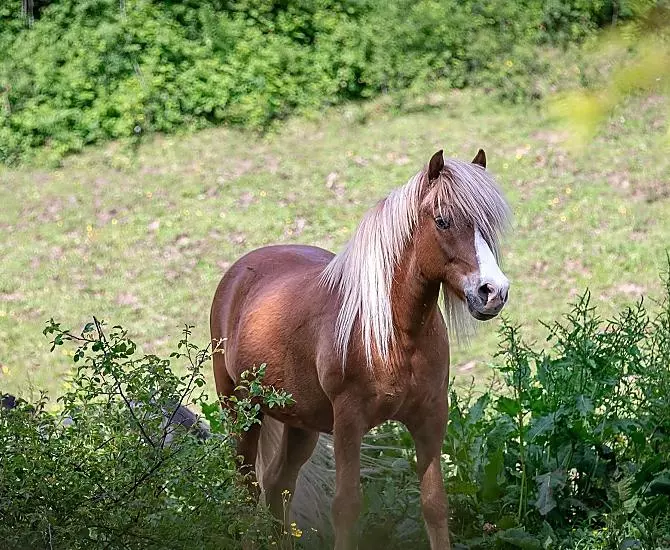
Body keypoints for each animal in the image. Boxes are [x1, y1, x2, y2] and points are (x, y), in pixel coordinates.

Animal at [210, 148, 511, 549]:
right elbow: (347, 507)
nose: (493, 292)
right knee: (247, 490)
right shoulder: (349, 423)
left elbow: (434, 505)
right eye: (443, 221)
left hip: (301, 424)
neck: (393, 334)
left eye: (489, 224)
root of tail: (238, 273)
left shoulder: (430, 418)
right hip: (241, 412)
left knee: (276, 487)